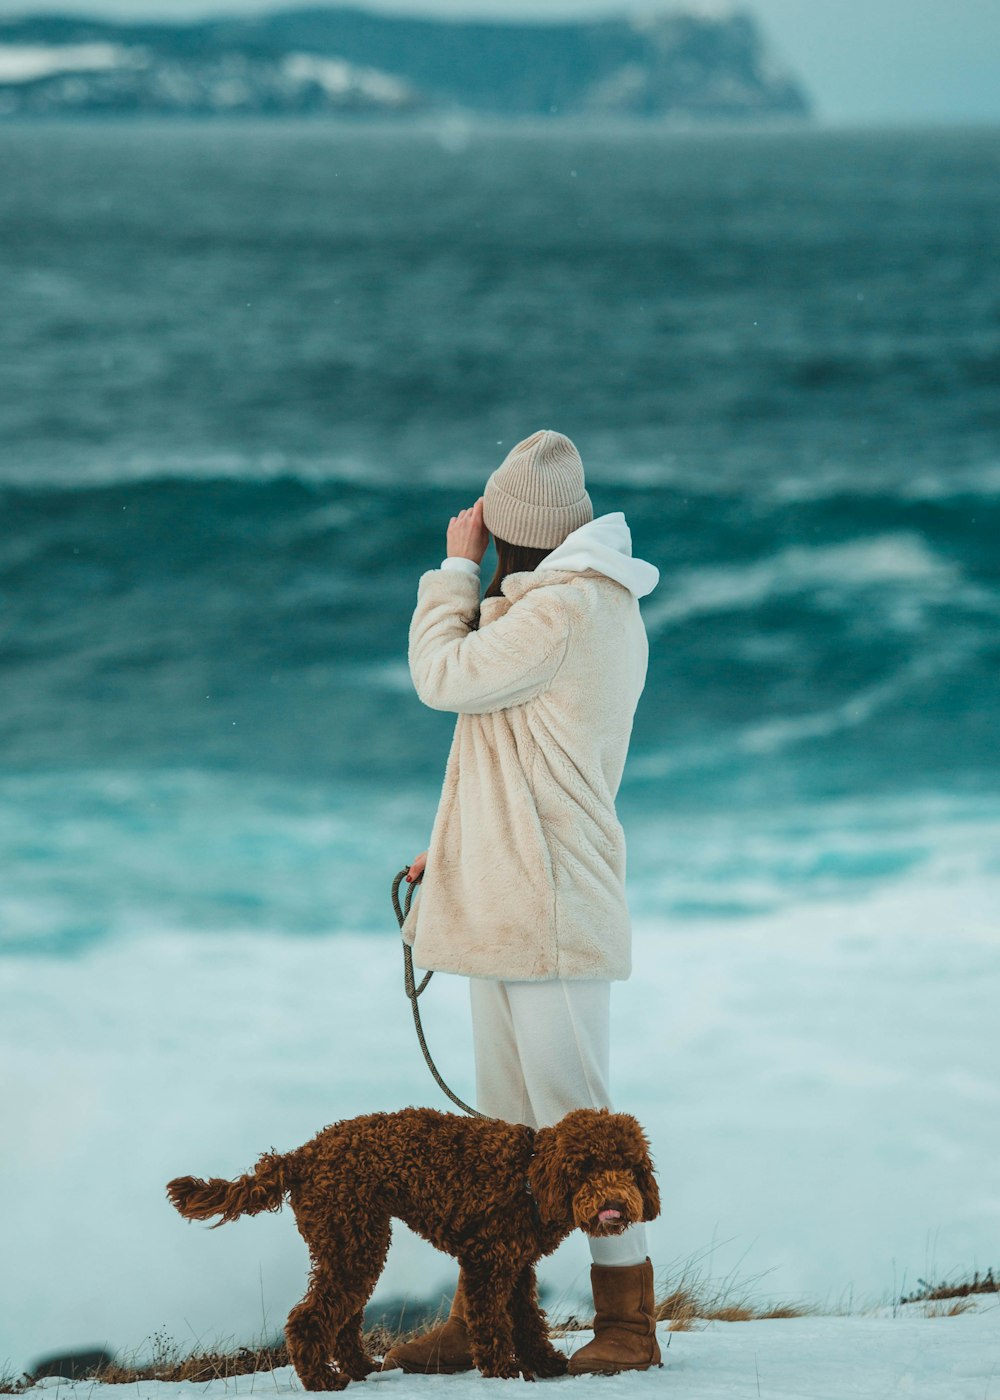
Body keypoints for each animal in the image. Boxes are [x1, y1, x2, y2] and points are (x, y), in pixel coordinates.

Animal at [167, 1103, 658, 1388]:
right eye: (587, 1166)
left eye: (629, 1166)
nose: (616, 1204)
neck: (530, 1178)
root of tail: (302, 1155)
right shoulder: (488, 1263)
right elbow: (491, 1322)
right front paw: (504, 1372)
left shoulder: (516, 1267)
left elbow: (526, 1320)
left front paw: (546, 1363)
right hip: (352, 1244)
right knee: (310, 1318)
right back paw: (322, 1380)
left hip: (356, 1242)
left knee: (343, 1318)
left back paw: (360, 1369)